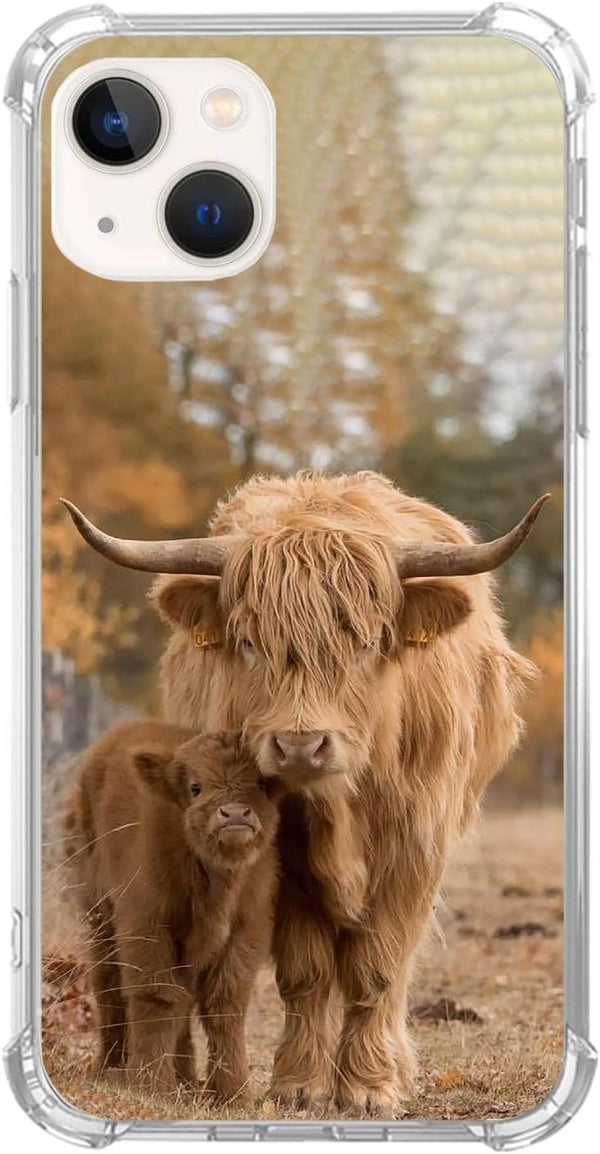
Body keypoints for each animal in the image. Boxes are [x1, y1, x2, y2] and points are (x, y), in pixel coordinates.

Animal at [64, 724, 280, 1101]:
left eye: (262, 784)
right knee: (108, 985)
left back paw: (185, 1077)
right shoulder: (146, 924)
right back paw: (111, 1067)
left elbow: (225, 1004)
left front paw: (232, 1093)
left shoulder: (247, 929)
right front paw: (150, 1083)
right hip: (99, 915)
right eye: (196, 787)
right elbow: (157, 997)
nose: (235, 814)